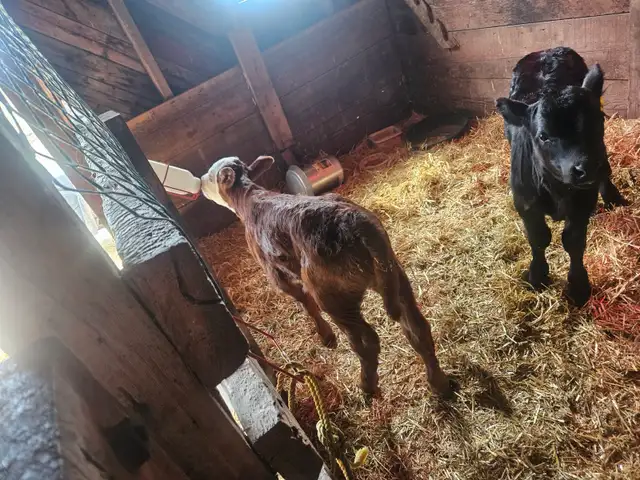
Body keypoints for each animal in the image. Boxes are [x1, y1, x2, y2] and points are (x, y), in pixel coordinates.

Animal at [200, 155, 453, 398]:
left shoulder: (276, 274)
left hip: (332, 296)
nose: (200, 184)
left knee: (367, 342)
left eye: (211, 176)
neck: (249, 197)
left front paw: (326, 336)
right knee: (417, 328)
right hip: (395, 275)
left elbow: (306, 303)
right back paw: (439, 384)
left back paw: (367, 385)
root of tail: (356, 224)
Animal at [496, 47, 628, 307]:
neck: (556, 189)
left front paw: (578, 285)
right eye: (543, 136)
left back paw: (612, 196)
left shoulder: (582, 201)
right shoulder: (525, 203)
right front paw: (537, 275)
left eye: (598, 120)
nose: (587, 167)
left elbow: (573, 242)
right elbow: (538, 238)